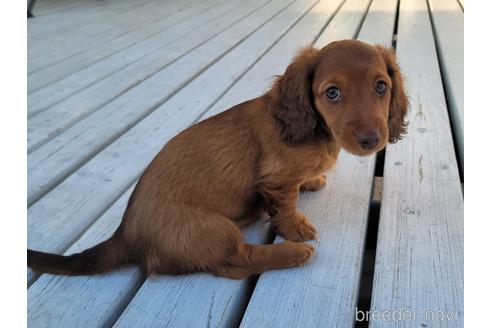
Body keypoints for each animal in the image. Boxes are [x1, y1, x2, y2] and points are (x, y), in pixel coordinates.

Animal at [28, 39, 410, 280]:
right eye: (332, 93)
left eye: (381, 86)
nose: (371, 140)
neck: (317, 131)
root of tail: (125, 234)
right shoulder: (276, 178)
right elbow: (286, 206)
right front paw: (296, 228)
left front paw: (312, 180)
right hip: (211, 229)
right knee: (239, 258)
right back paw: (292, 255)